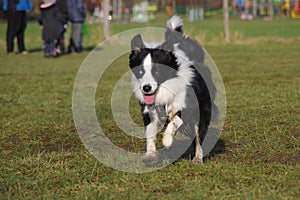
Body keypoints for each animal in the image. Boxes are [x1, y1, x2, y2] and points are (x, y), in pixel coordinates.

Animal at [127, 15, 214, 165]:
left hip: (202, 109)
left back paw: (198, 158)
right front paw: (150, 154)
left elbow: (175, 120)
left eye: (157, 71)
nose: (146, 88)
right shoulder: (148, 111)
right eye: (140, 71)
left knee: (199, 135)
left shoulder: (189, 106)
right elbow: (150, 132)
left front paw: (167, 140)